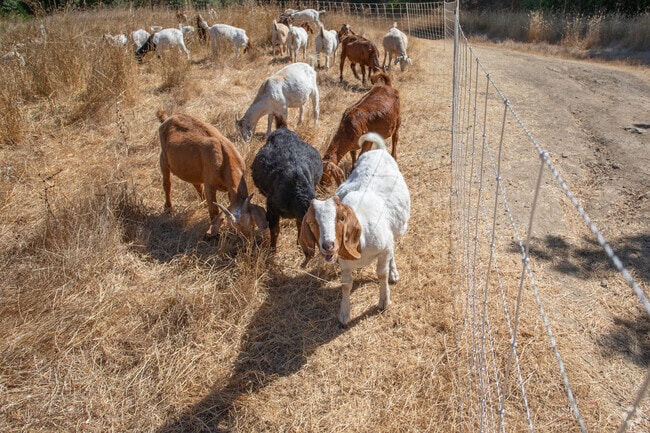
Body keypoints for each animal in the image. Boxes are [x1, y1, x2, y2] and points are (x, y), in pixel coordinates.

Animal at [156, 110, 267, 239]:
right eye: (235, 228)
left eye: (251, 223)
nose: (248, 240)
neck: (225, 157)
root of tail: (167, 118)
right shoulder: (210, 185)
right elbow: (214, 210)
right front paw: (214, 234)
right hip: (163, 159)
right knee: (167, 184)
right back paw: (168, 208)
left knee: (196, 184)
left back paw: (203, 203)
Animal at [300, 132, 411, 325]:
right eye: (312, 223)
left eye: (342, 218)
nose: (328, 245)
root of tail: (378, 150)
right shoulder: (343, 261)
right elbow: (346, 284)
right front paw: (344, 314)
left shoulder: (384, 249)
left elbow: (381, 274)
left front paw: (384, 301)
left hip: (395, 231)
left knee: (393, 250)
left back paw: (394, 272)